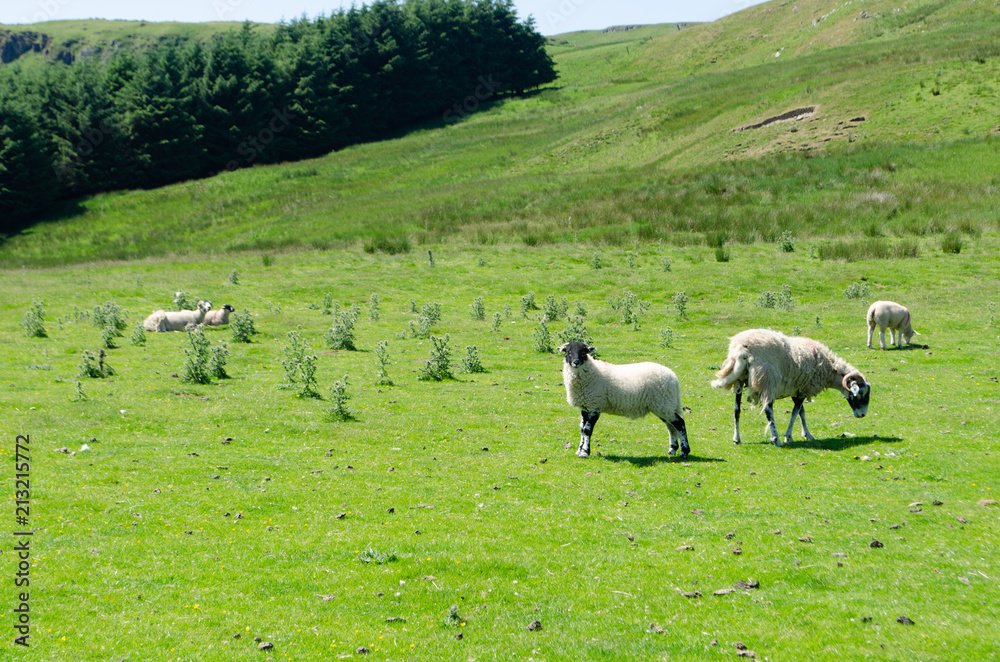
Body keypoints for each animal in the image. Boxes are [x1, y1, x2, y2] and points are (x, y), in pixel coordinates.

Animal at [558, 342, 689, 459]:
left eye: (583, 352)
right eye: (568, 352)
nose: (576, 362)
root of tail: (673, 377)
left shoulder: (595, 406)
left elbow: (587, 430)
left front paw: (585, 453)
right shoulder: (585, 407)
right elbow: (581, 428)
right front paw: (579, 450)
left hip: (664, 403)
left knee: (680, 423)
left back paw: (684, 452)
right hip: (664, 405)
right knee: (671, 426)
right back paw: (672, 449)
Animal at [711, 329, 870, 446]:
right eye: (861, 393)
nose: (862, 415)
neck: (829, 369)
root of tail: (741, 351)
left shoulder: (797, 389)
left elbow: (801, 412)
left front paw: (807, 434)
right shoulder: (803, 389)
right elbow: (795, 412)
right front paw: (788, 436)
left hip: (739, 380)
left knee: (736, 409)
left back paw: (737, 438)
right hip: (767, 379)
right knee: (768, 410)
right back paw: (776, 439)